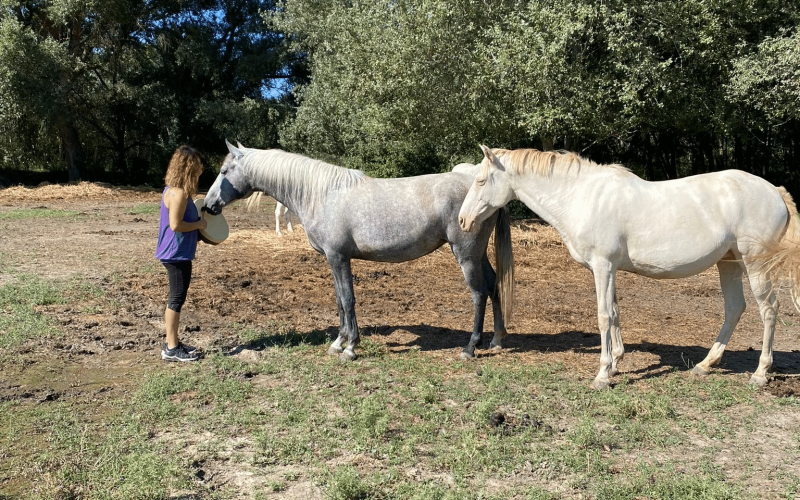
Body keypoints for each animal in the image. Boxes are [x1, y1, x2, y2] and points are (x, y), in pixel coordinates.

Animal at [205, 143, 512, 362]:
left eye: (224, 172)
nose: (208, 205)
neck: (322, 194)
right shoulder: (333, 259)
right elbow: (340, 301)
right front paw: (338, 343)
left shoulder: (338, 257)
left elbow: (348, 299)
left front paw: (350, 347)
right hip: (478, 254)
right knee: (493, 284)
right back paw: (497, 341)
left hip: (466, 254)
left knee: (478, 294)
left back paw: (470, 348)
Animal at [456, 146, 800, 388]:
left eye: (481, 180)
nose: (462, 220)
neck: (582, 197)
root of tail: (775, 191)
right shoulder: (608, 269)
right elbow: (615, 310)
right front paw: (616, 363)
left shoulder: (603, 266)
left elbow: (604, 315)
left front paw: (602, 375)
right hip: (729, 262)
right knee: (734, 308)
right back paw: (705, 364)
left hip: (755, 263)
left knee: (768, 310)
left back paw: (760, 373)